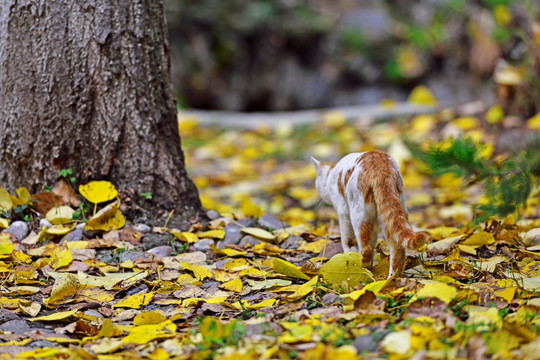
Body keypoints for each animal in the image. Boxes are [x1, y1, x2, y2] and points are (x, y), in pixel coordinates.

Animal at [312, 150, 426, 278]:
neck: (331, 175)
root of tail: (380, 167)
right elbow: (373, 240)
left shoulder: (343, 211)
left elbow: (347, 239)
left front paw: (349, 254)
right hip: (391, 213)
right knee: (397, 249)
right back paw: (393, 279)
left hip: (359, 215)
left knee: (366, 248)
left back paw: (360, 268)